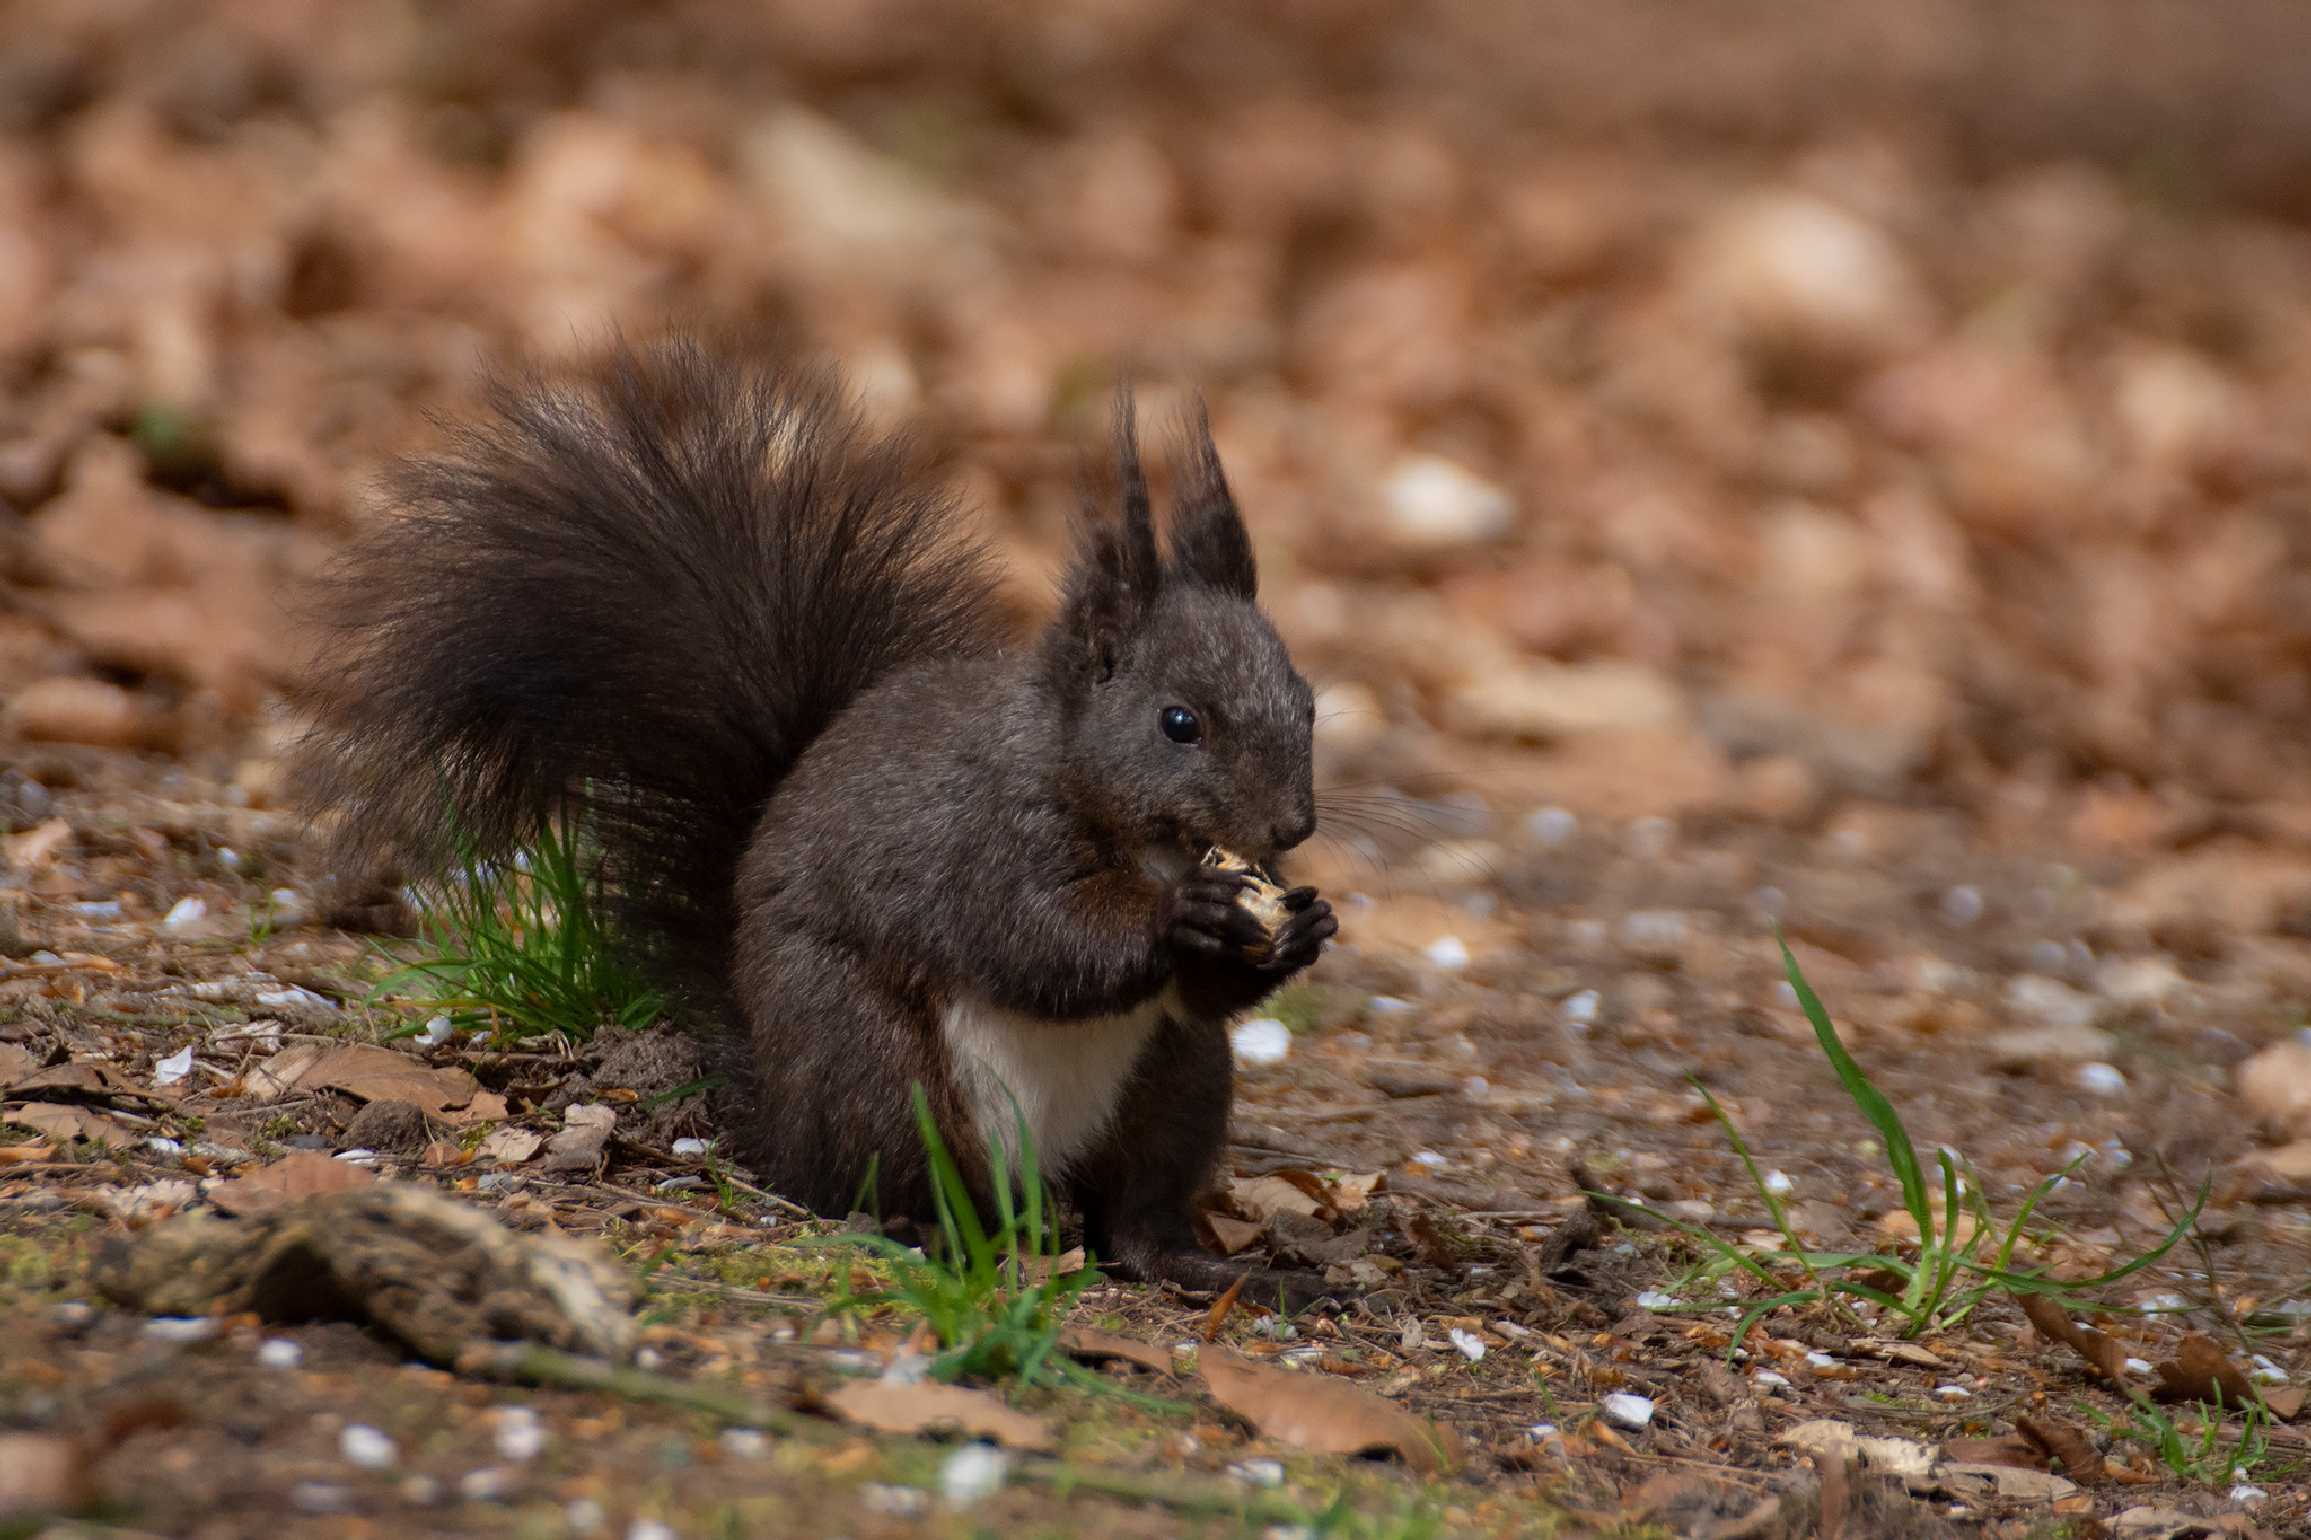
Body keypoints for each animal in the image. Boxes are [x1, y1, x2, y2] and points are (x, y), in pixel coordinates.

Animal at [288, 335, 1340, 1294]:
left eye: (1307, 703)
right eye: (1179, 722)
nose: (1290, 829)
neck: (1144, 836)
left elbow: (1197, 992)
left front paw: (1302, 927)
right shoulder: (982, 837)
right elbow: (1035, 941)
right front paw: (1182, 916)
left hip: (1176, 1085)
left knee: (1133, 1214)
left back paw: (1197, 1263)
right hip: (871, 1068)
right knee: (878, 1182)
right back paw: (928, 1234)